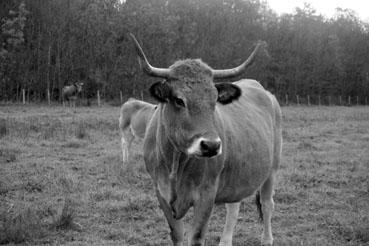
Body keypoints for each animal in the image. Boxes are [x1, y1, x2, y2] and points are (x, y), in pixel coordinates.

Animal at [129, 34, 282, 246]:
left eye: (215, 99)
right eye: (179, 100)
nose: (211, 145)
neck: (175, 162)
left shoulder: (206, 195)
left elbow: (196, 237)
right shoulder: (161, 193)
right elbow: (177, 235)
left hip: (272, 168)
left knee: (267, 204)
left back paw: (267, 239)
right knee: (233, 208)